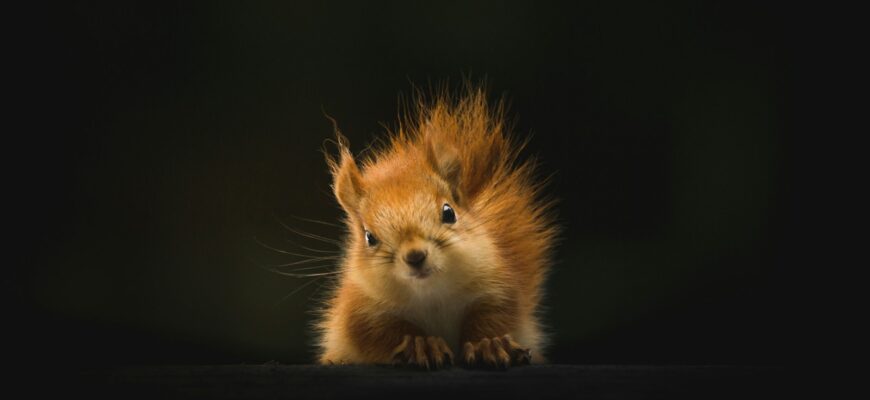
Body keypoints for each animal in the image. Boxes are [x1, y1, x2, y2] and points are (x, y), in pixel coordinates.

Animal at [316, 87, 556, 368]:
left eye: (449, 213)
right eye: (369, 237)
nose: (415, 256)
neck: (431, 294)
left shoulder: (497, 287)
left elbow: (494, 317)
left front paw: (490, 343)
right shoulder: (361, 310)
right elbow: (381, 333)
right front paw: (421, 345)